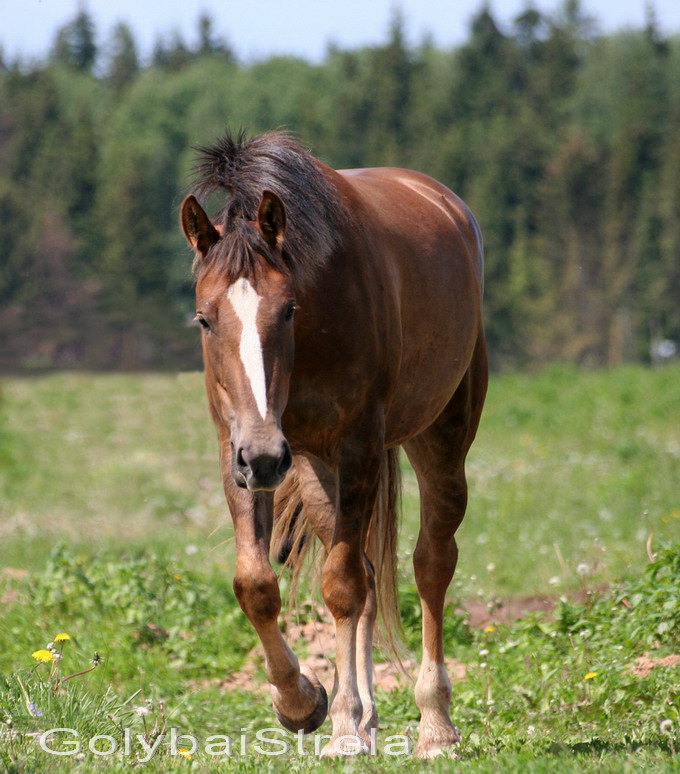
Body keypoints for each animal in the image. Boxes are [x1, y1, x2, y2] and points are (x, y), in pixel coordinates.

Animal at [179, 129, 488, 756]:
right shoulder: (238, 453)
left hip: (439, 437)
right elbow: (257, 585)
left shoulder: (358, 446)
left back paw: (435, 723)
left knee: (431, 564)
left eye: (289, 308)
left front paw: (341, 725)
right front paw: (303, 703)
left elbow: (343, 586)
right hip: (314, 469)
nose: (265, 454)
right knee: (370, 571)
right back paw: (367, 717)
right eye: (204, 318)